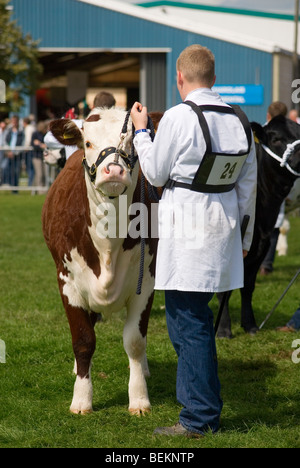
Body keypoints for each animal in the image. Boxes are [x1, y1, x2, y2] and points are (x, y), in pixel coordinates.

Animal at [41, 108, 162, 414]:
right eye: (87, 143)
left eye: (132, 142)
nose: (114, 171)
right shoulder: (67, 282)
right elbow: (83, 340)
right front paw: (82, 398)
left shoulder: (146, 281)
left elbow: (135, 341)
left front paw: (139, 399)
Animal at [217, 115, 300, 338]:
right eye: (277, 139)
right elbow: (223, 290)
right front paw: (223, 329)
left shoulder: (261, 245)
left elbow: (248, 287)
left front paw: (250, 325)